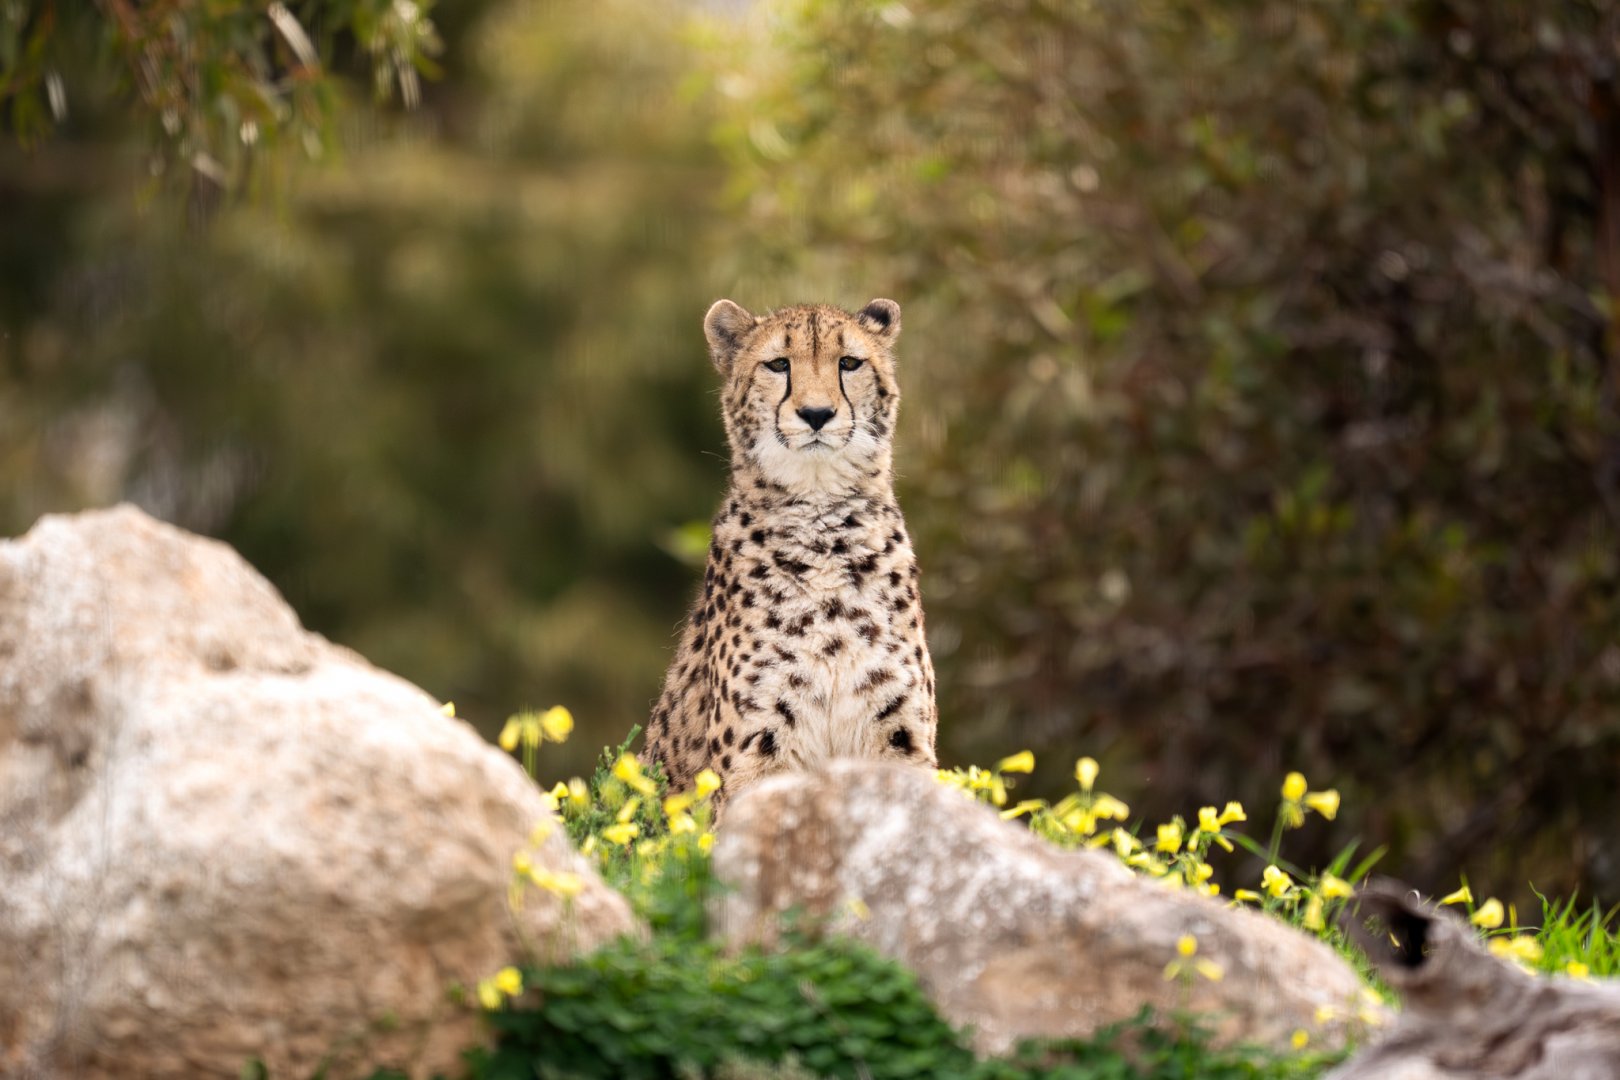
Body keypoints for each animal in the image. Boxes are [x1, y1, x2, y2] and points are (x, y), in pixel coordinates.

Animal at [643, 297, 938, 810]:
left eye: (849, 363)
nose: (816, 413)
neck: (824, 530)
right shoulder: (759, 749)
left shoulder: (901, 740)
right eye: (779, 365)